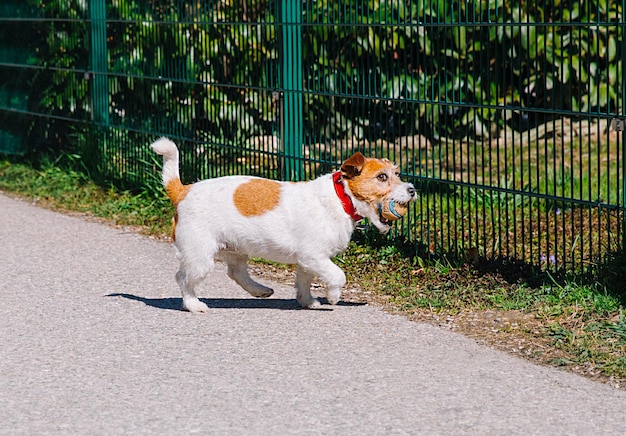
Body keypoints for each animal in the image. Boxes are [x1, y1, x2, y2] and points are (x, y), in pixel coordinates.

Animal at [150, 138, 414, 312]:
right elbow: (337, 275)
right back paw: (194, 304)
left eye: (396, 174)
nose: (412, 189)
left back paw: (259, 290)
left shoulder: (308, 262)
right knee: (183, 278)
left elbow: (304, 282)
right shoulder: (314, 256)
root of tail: (183, 190)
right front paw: (332, 296)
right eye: (382, 177)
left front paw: (308, 302)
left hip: (235, 249)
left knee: (236, 273)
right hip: (200, 257)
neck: (341, 197)